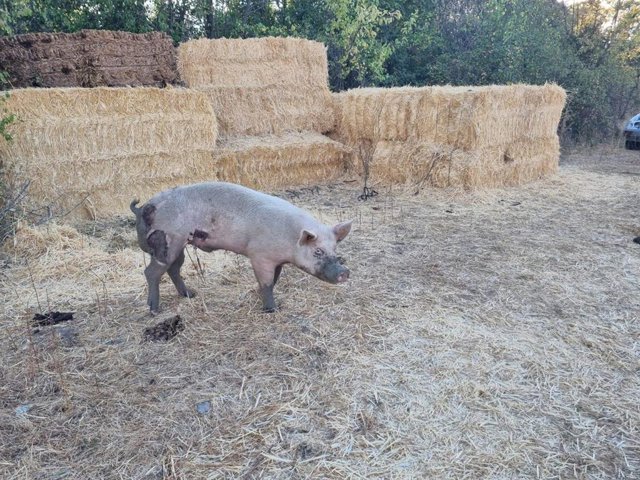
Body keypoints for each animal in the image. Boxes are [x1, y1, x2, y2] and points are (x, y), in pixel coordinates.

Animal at [130, 182, 352, 313]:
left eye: (335, 250)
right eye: (317, 251)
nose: (344, 272)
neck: (290, 239)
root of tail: (142, 208)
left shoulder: (276, 261)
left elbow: (274, 280)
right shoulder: (260, 256)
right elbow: (267, 283)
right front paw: (272, 310)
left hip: (179, 245)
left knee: (173, 269)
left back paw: (190, 295)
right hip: (167, 242)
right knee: (151, 272)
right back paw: (154, 310)